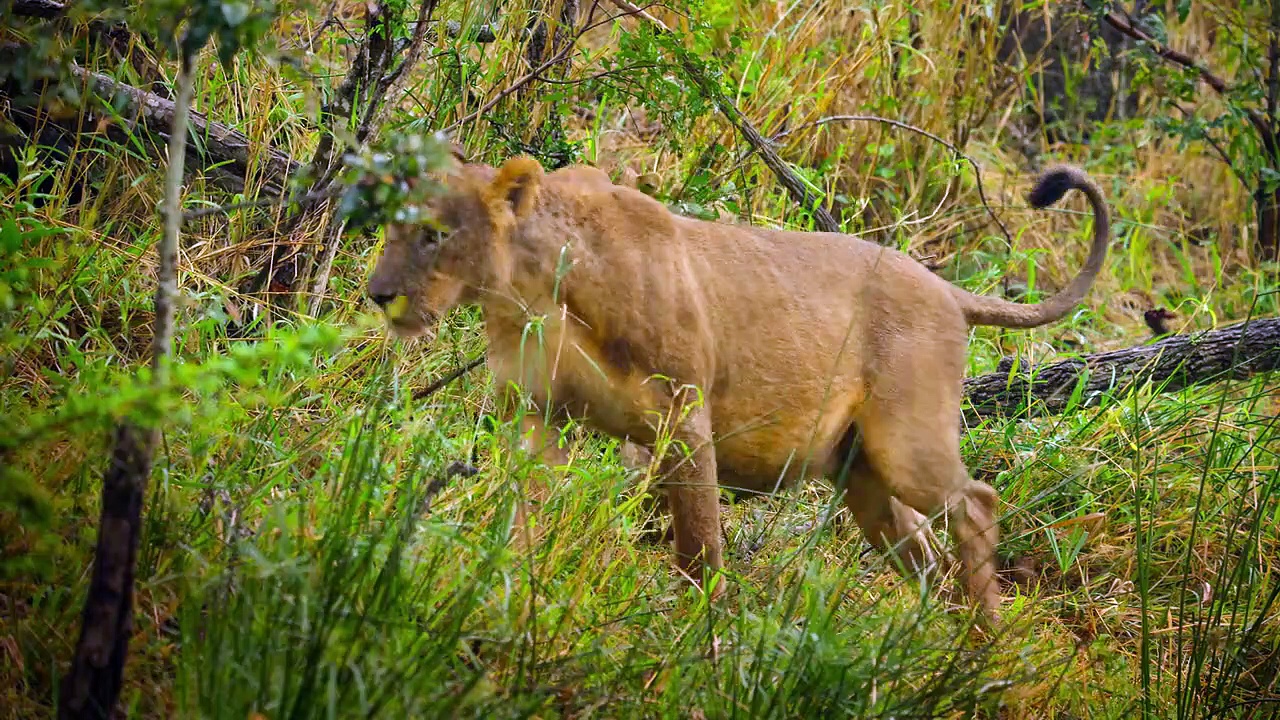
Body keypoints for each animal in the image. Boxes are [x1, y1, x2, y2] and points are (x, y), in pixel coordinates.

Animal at [366, 154, 1110, 620]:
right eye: (387, 224)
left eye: (434, 234)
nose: (377, 294)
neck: (532, 285)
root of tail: (946, 288)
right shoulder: (534, 413)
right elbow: (522, 515)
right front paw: (509, 593)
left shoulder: (684, 415)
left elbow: (699, 547)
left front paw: (698, 640)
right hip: (861, 475)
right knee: (925, 552)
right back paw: (934, 652)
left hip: (907, 441)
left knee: (977, 505)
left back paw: (980, 649)